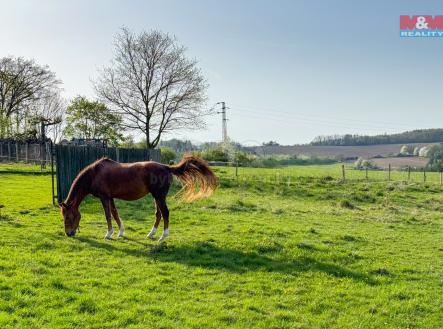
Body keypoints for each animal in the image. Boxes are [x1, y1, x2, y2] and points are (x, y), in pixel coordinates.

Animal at [59, 154, 218, 241]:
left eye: (68, 217)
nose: (68, 234)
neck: (94, 174)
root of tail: (166, 167)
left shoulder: (104, 197)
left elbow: (108, 215)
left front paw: (109, 234)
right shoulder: (110, 198)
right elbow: (115, 214)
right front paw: (120, 232)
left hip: (159, 196)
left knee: (165, 213)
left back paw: (163, 236)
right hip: (156, 197)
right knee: (158, 214)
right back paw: (151, 234)